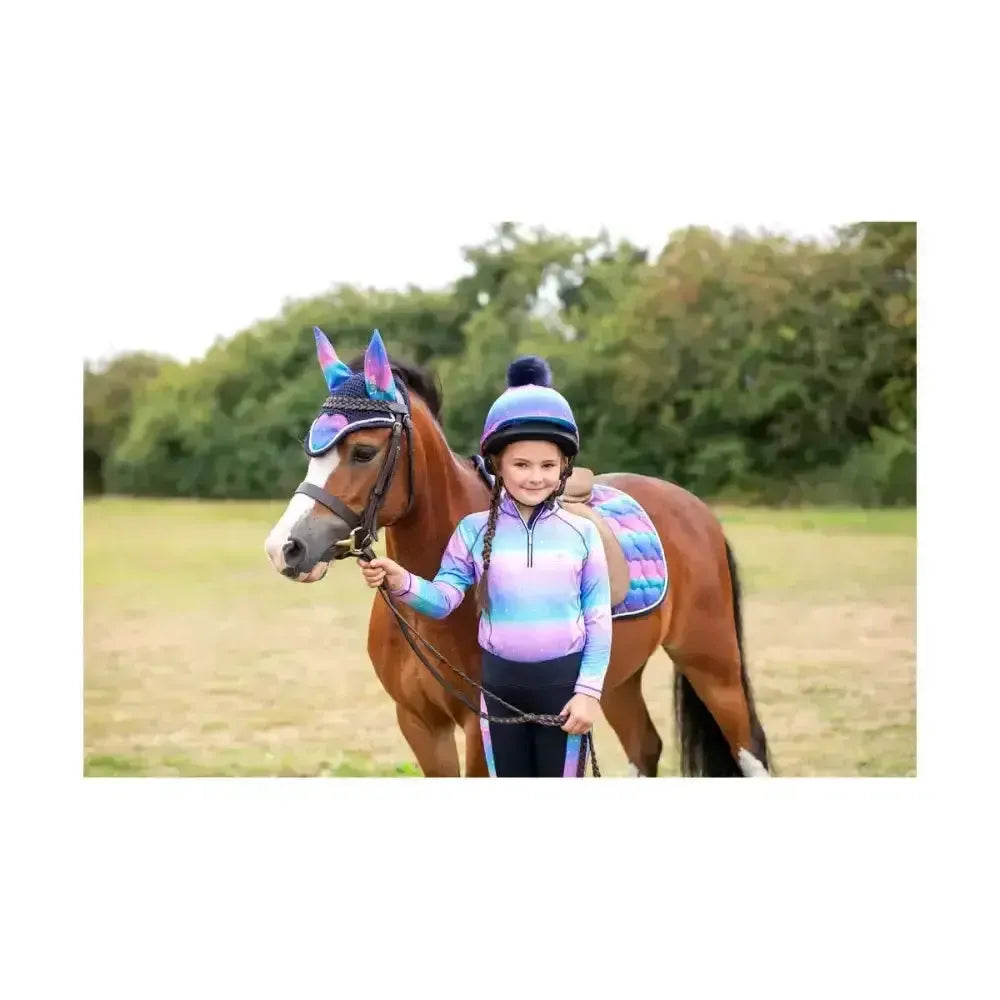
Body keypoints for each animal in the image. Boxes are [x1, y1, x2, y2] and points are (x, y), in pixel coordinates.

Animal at [264, 328, 771, 777]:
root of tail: (695, 509)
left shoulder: (480, 725)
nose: (285, 548)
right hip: (616, 679)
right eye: (312, 450)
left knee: (749, 748)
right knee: (644, 748)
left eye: (364, 452)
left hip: (712, 662)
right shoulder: (419, 724)